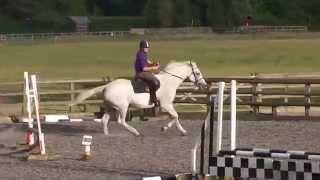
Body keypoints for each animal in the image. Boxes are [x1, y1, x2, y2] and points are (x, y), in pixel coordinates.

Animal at [71, 61, 208, 136]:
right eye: (198, 73)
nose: (204, 84)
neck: (169, 81)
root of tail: (107, 86)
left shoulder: (168, 105)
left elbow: (175, 117)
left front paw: (181, 131)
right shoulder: (166, 104)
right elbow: (175, 116)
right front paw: (166, 129)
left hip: (111, 107)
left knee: (105, 120)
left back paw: (107, 135)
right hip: (122, 107)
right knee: (121, 121)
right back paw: (135, 132)